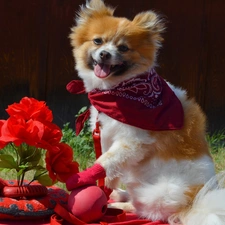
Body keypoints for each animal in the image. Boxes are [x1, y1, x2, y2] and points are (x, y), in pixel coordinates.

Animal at [66, 0, 225, 224]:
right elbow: (110, 165)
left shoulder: (133, 141)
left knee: (146, 210)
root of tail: (194, 205)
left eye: (123, 48)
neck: (117, 91)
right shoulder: (106, 135)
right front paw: (107, 186)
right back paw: (118, 195)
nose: (105, 53)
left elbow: (105, 161)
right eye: (98, 41)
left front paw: (85, 177)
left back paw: (118, 204)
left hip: (156, 193)